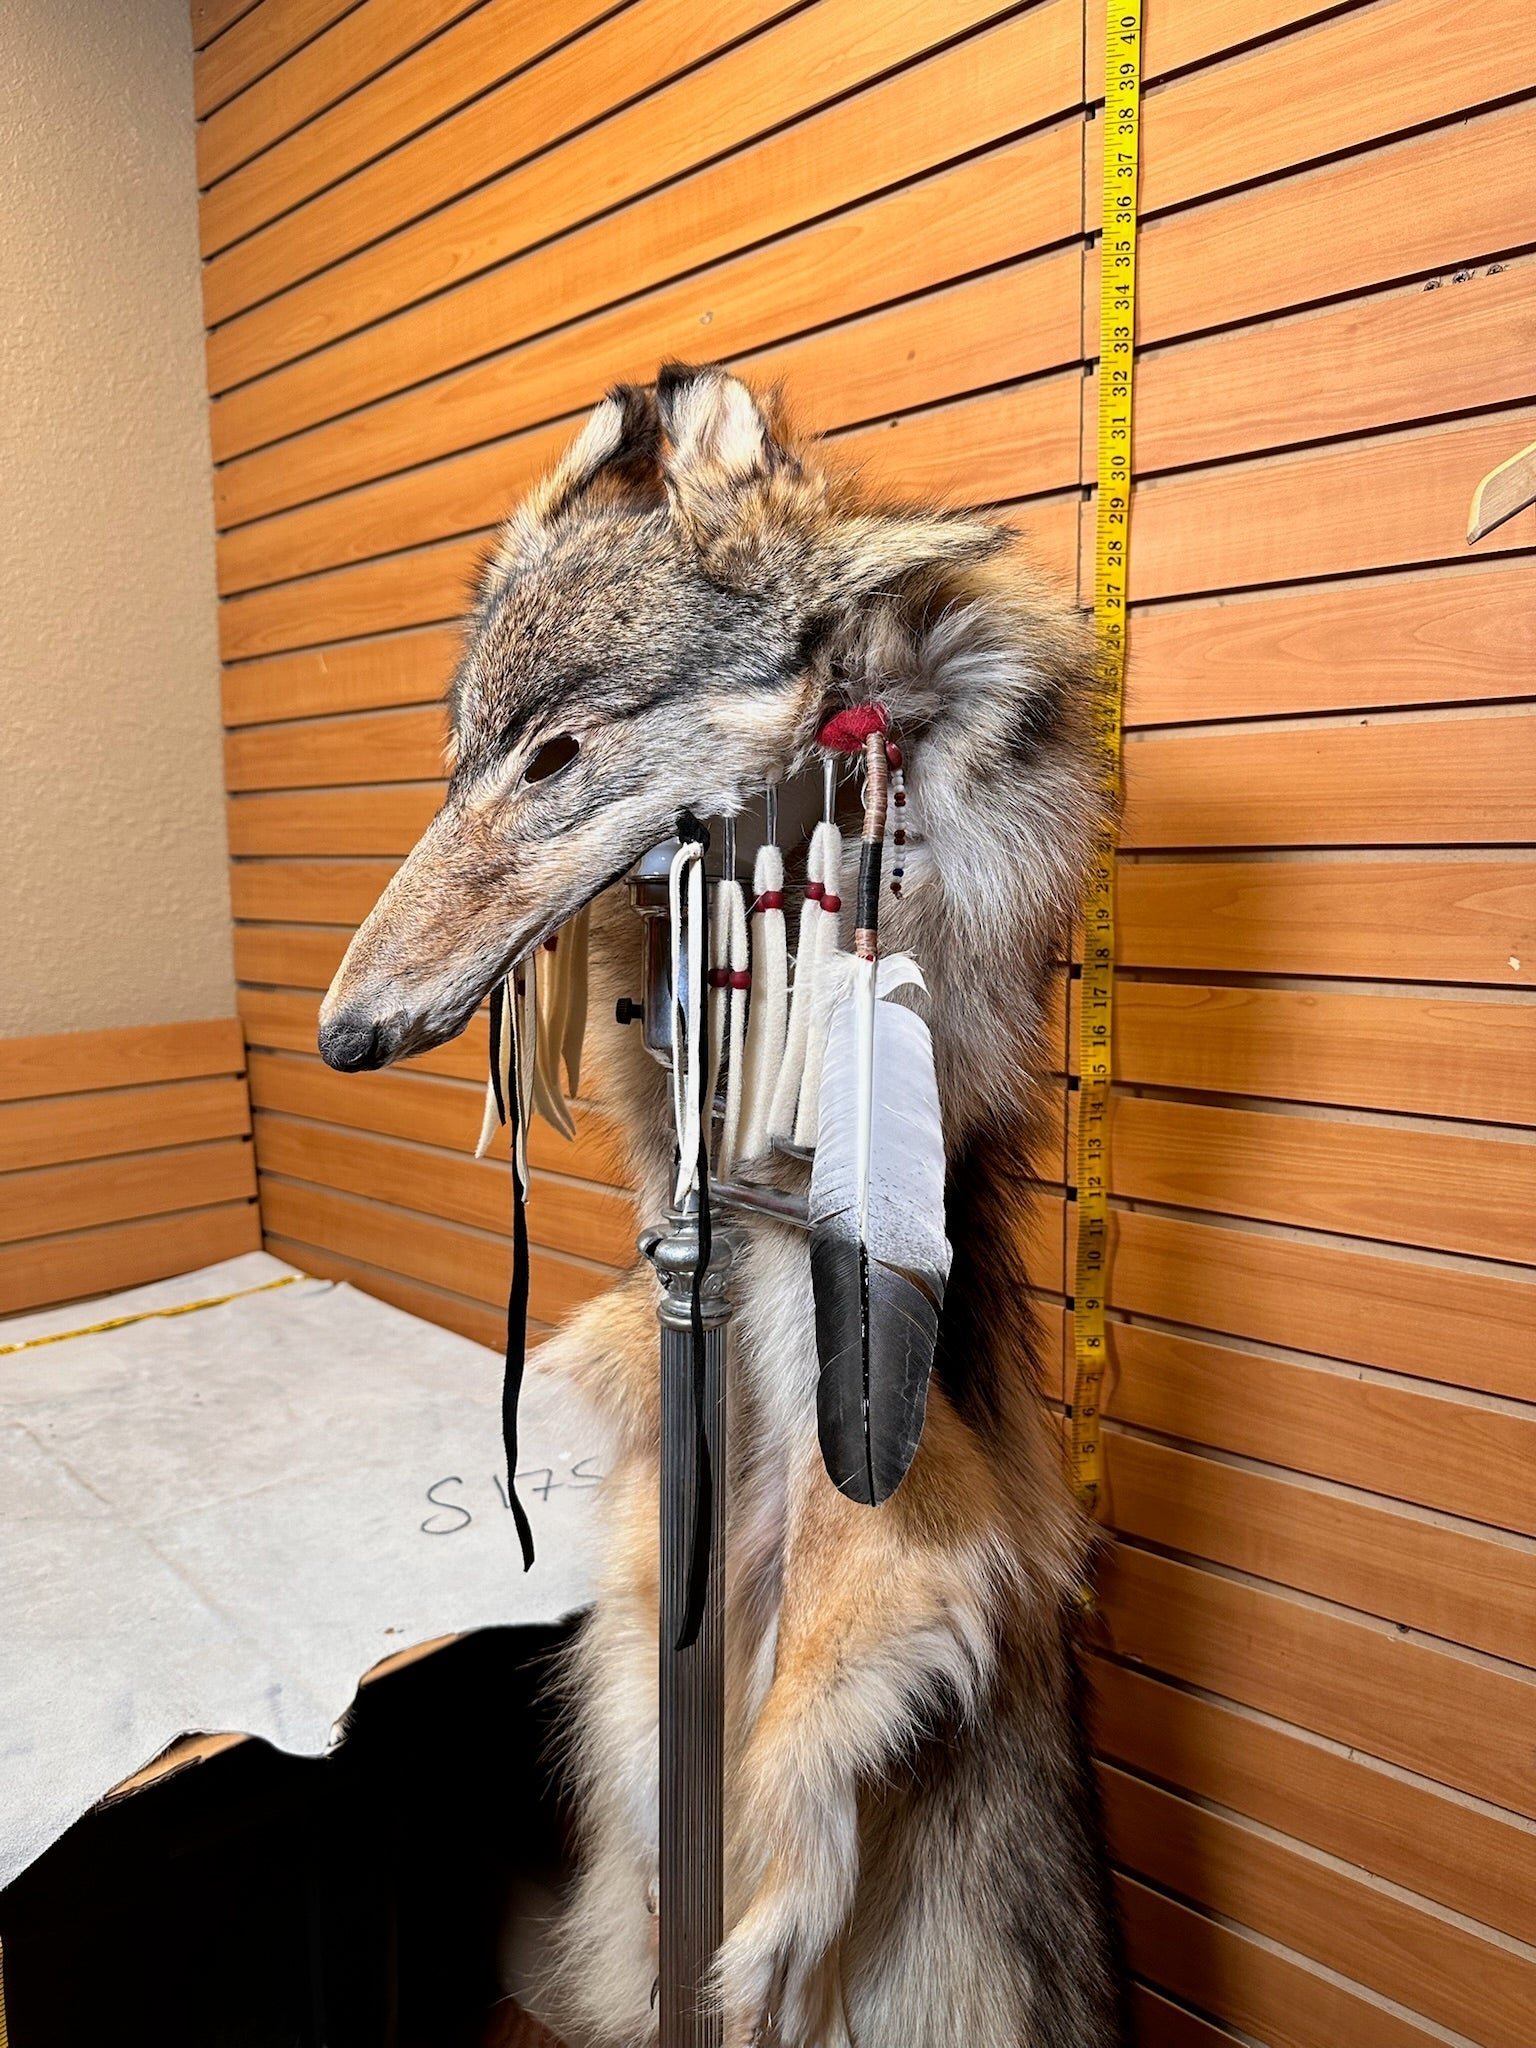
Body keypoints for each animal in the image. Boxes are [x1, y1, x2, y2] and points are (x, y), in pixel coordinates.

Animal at [320, 364, 1125, 2047]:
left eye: (559, 753)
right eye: (459, 760)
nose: (342, 1036)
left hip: (871, 1617)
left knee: (799, 1846)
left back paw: (749, 1964)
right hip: (636, 1649)